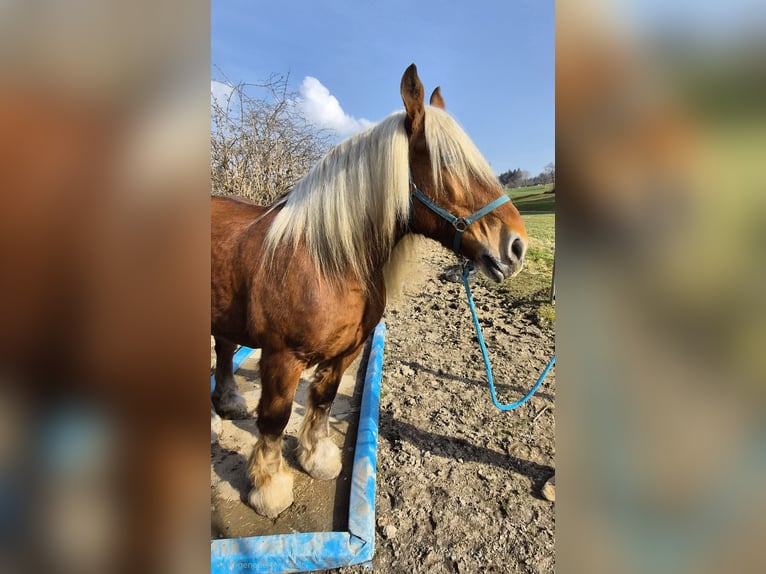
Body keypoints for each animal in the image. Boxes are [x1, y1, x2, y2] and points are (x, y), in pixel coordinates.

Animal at [211, 64, 528, 518]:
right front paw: (268, 488)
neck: (327, 259)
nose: (516, 248)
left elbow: (322, 399)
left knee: (222, 348)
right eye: (450, 165)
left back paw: (228, 403)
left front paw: (318, 459)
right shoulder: (281, 358)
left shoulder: (348, 350)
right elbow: (274, 418)